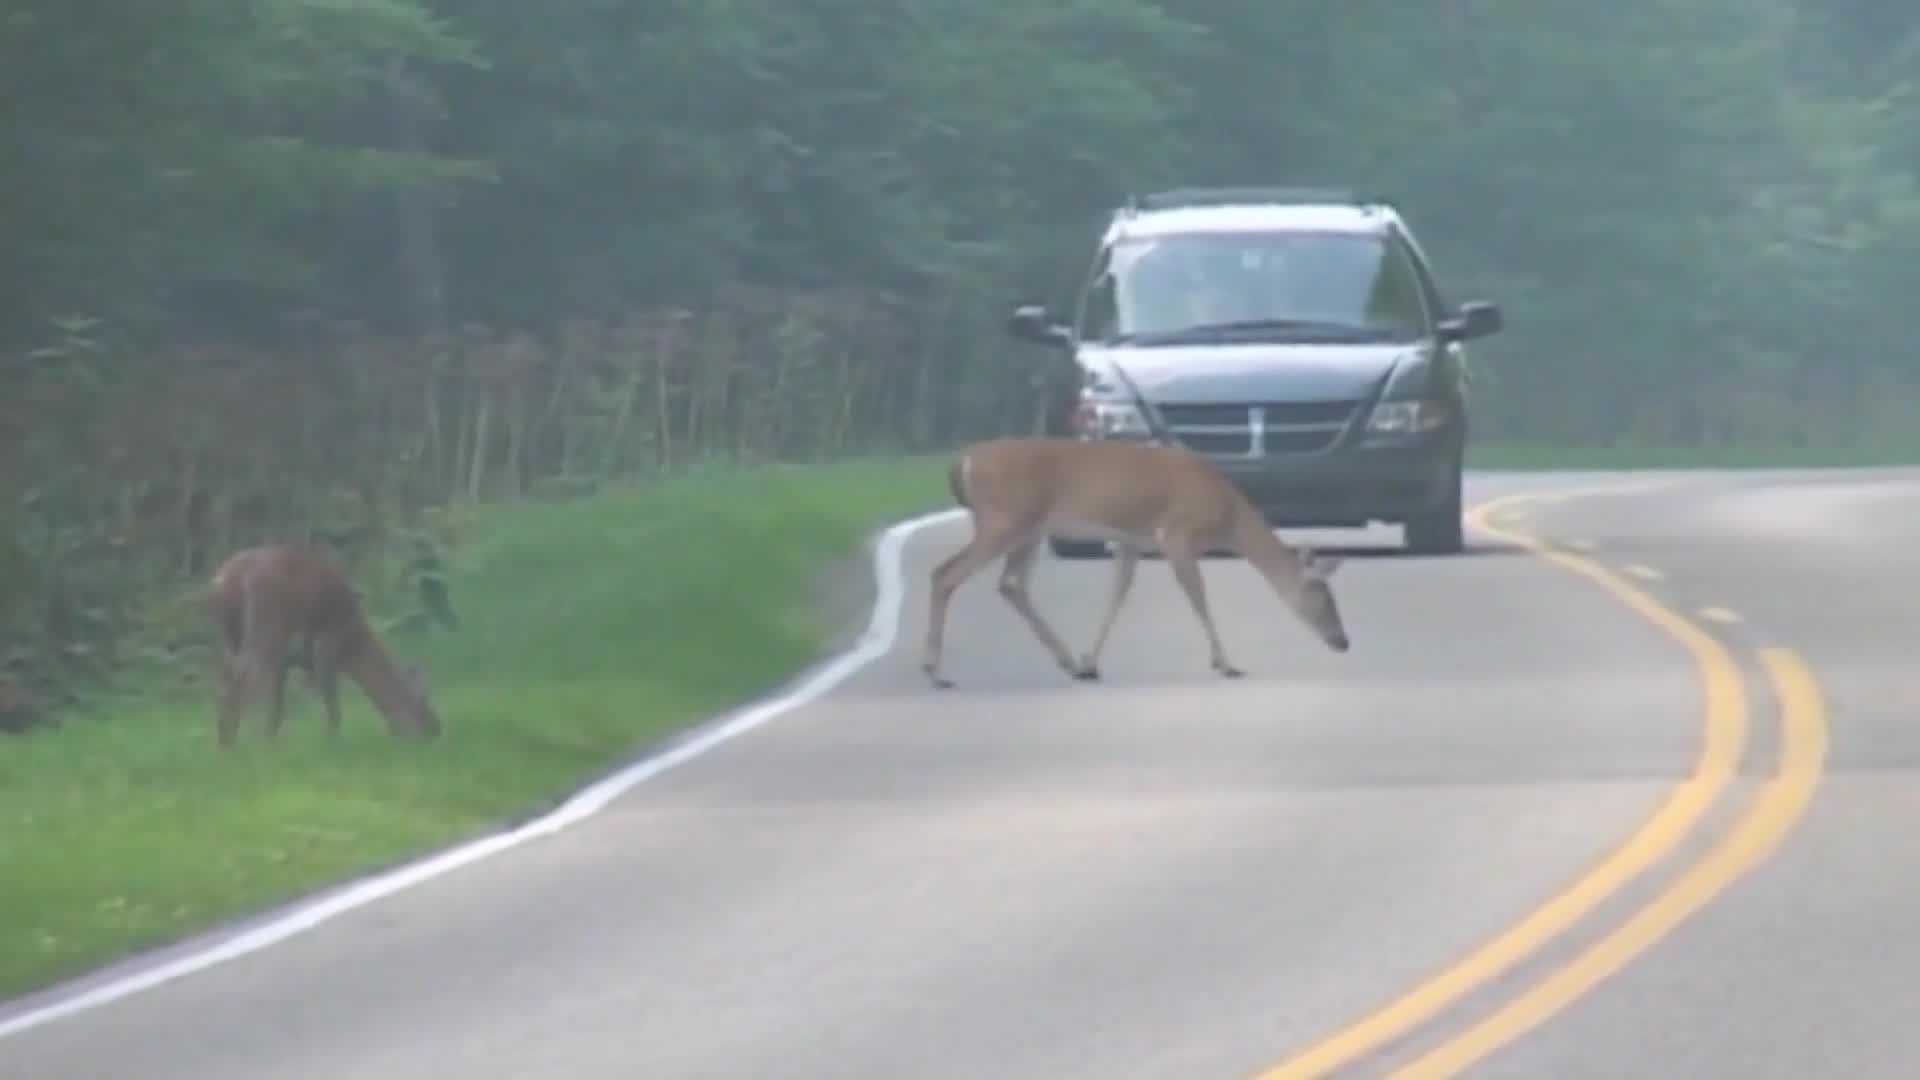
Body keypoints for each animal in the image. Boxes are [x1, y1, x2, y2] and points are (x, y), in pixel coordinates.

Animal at [210, 541, 441, 745]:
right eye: (422, 709)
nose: (435, 730)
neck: (353, 647)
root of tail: (230, 577)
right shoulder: (327, 641)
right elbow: (331, 701)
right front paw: (333, 741)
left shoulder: (285, 660)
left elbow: (277, 706)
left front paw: (270, 741)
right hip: (266, 626)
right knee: (242, 675)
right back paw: (230, 741)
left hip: (231, 636)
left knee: (225, 678)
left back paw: (224, 740)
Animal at [917, 432, 1351, 684]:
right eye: (1323, 596)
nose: (1343, 641)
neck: (1228, 516)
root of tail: (963, 462)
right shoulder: (1176, 534)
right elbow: (1198, 596)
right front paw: (1226, 663)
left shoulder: (1129, 541)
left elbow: (1118, 595)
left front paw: (1090, 661)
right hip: (1005, 521)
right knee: (946, 573)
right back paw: (934, 670)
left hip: (1028, 531)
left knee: (1010, 585)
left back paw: (1068, 661)